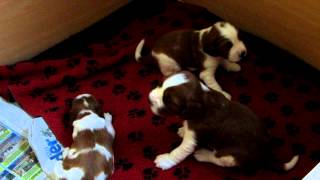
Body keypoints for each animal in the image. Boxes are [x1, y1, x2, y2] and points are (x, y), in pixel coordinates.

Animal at [149, 71, 298, 172]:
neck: (204, 99)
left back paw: (203, 154)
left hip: (230, 154)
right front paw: (182, 130)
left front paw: (165, 160)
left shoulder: (193, 138)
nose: (149, 99)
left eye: (168, 101)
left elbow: (180, 151)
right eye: (160, 84)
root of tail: (266, 154)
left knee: (219, 160)